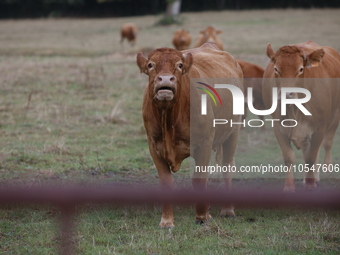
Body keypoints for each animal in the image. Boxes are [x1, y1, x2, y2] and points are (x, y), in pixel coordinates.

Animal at [137, 42, 243, 228]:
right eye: (150, 65)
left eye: (179, 65)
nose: (166, 79)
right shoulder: (154, 146)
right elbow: (166, 182)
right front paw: (167, 221)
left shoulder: (205, 143)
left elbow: (199, 180)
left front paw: (202, 216)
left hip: (233, 133)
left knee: (227, 167)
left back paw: (228, 210)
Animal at [262, 40, 340, 191]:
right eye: (276, 69)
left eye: (300, 69)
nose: (287, 94)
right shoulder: (278, 127)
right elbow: (289, 157)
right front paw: (289, 186)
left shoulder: (320, 127)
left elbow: (311, 156)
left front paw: (310, 184)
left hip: (335, 117)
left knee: (326, 143)